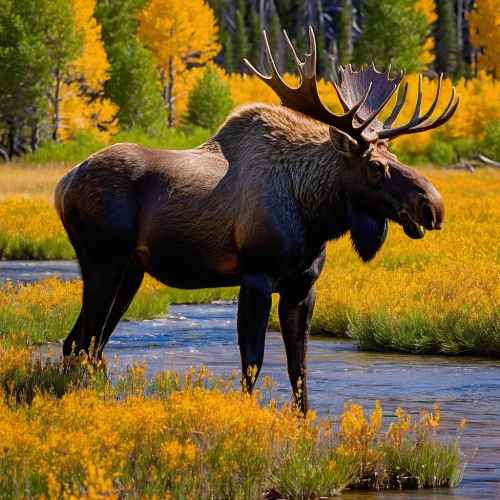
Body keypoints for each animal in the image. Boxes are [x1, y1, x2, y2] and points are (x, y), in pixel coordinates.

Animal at [55, 27, 460, 412]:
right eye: (375, 166)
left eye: (394, 156)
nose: (433, 205)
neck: (314, 213)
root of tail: (64, 183)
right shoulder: (256, 276)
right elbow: (252, 362)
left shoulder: (302, 288)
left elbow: (299, 367)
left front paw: (303, 423)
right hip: (103, 260)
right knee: (82, 341)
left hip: (131, 270)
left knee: (87, 344)